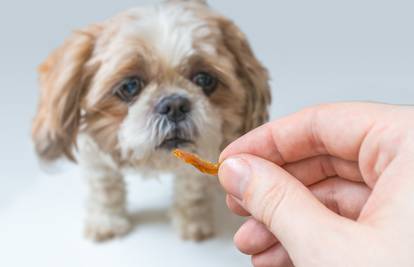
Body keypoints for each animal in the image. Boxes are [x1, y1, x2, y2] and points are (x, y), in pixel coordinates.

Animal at [32, 0, 272, 243]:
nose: (174, 105)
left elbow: (191, 190)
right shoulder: (95, 154)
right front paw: (106, 221)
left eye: (205, 80)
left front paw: (191, 221)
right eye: (130, 86)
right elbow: (105, 188)